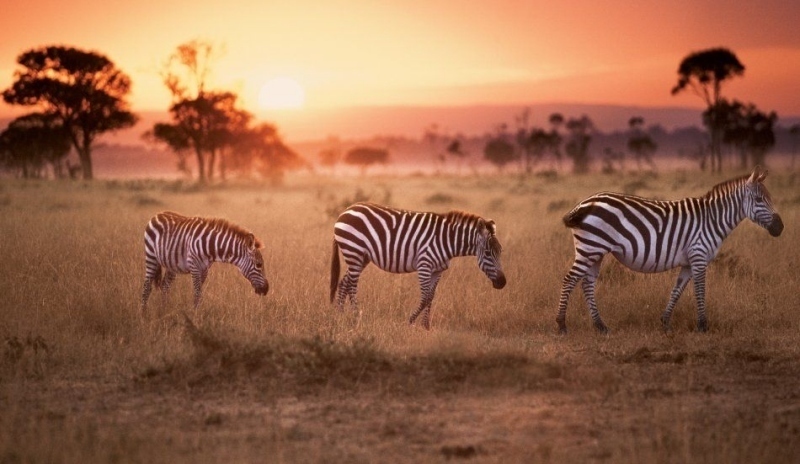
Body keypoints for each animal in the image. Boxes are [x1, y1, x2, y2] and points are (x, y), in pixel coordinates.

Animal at [140, 211, 269, 312]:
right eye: (259, 264)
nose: (266, 289)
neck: (210, 246)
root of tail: (157, 214)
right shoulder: (194, 266)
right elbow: (197, 293)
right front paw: (196, 316)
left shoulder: (205, 269)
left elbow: (199, 292)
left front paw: (197, 312)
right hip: (151, 256)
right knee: (147, 286)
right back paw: (144, 315)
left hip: (171, 264)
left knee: (165, 287)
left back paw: (164, 311)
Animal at [330, 202, 506, 329]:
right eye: (488, 253)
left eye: (500, 251)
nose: (502, 283)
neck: (446, 240)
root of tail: (345, 211)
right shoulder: (424, 265)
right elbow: (425, 297)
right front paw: (410, 321)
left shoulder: (438, 270)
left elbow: (431, 296)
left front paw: (426, 326)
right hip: (354, 251)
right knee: (352, 285)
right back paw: (355, 316)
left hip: (361, 257)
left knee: (344, 282)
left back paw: (340, 315)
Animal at [557, 166, 783, 334]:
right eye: (759, 200)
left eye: (769, 198)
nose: (780, 228)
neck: (712, 219)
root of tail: (584, 203)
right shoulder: (699, 256)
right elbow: (700, 290)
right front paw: (703, 326)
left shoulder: (688, 262)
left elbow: (677, 289)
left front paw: (665, 322)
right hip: (590, 247)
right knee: (569, 280)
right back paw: (561, 325)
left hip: (595, 251)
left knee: (587, 283)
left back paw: (601, 326)